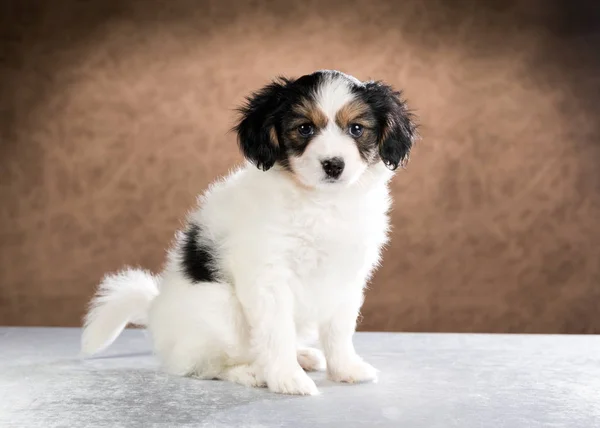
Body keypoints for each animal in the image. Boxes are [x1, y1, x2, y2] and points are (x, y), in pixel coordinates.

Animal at [81, 69, 418, 394]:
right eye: (305, 129)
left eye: (356, 129)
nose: (333, 165)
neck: (320, 203)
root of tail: (154, 311)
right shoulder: (269, 276)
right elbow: (276, 332)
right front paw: (286, 379)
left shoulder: (347, 275)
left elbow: (339, 328)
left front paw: (346, 369)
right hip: (220, 310)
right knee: (203, 365)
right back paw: (251, 372)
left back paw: (301, 356)